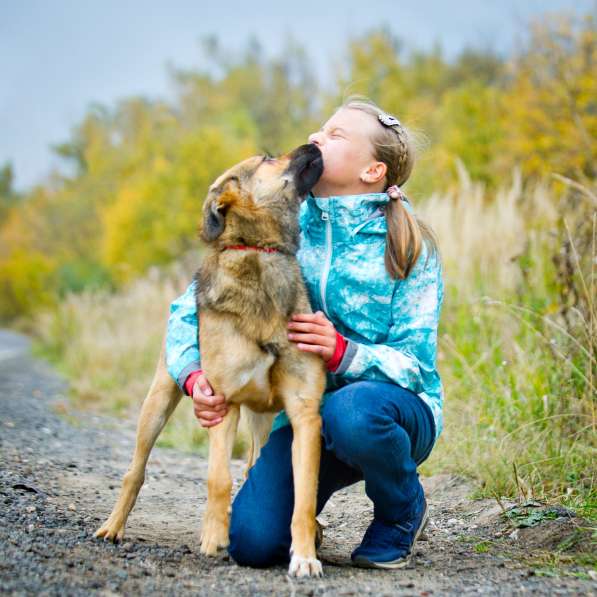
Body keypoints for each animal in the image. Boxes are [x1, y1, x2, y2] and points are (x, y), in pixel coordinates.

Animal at [94, 142, 326, 576]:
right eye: (268, 158)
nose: (315, 143)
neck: (261, 252)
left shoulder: (304, 412)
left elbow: (304, 497)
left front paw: (304, 555)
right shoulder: (224, 400)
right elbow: (218, 478)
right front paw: (215, 536)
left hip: (263, 419)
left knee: (252, 466)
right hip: (158, 401)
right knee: (136, 471)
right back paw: (113, 527)